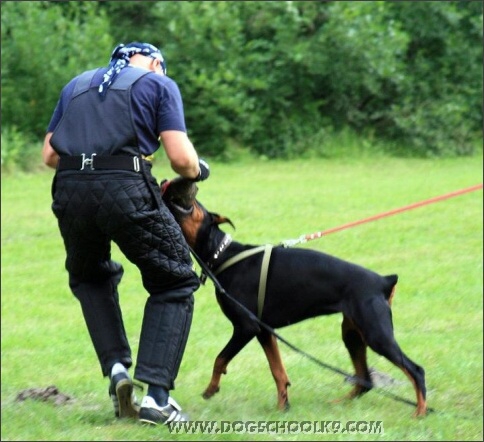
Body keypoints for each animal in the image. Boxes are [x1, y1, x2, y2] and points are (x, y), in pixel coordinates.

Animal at [160, 177, 428, 418]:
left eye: (195, 203)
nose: (165, 181)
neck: (222, 255)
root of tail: (383, 281)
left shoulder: (246, 327)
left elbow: (220, 358)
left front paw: (211, 388)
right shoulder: (264, 331)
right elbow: (278, 371)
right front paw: (283, 407)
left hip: (376, 334)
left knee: (415, 370)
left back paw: (420, 411)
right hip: (352, 333)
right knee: (365, 379)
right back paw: (338, 404)